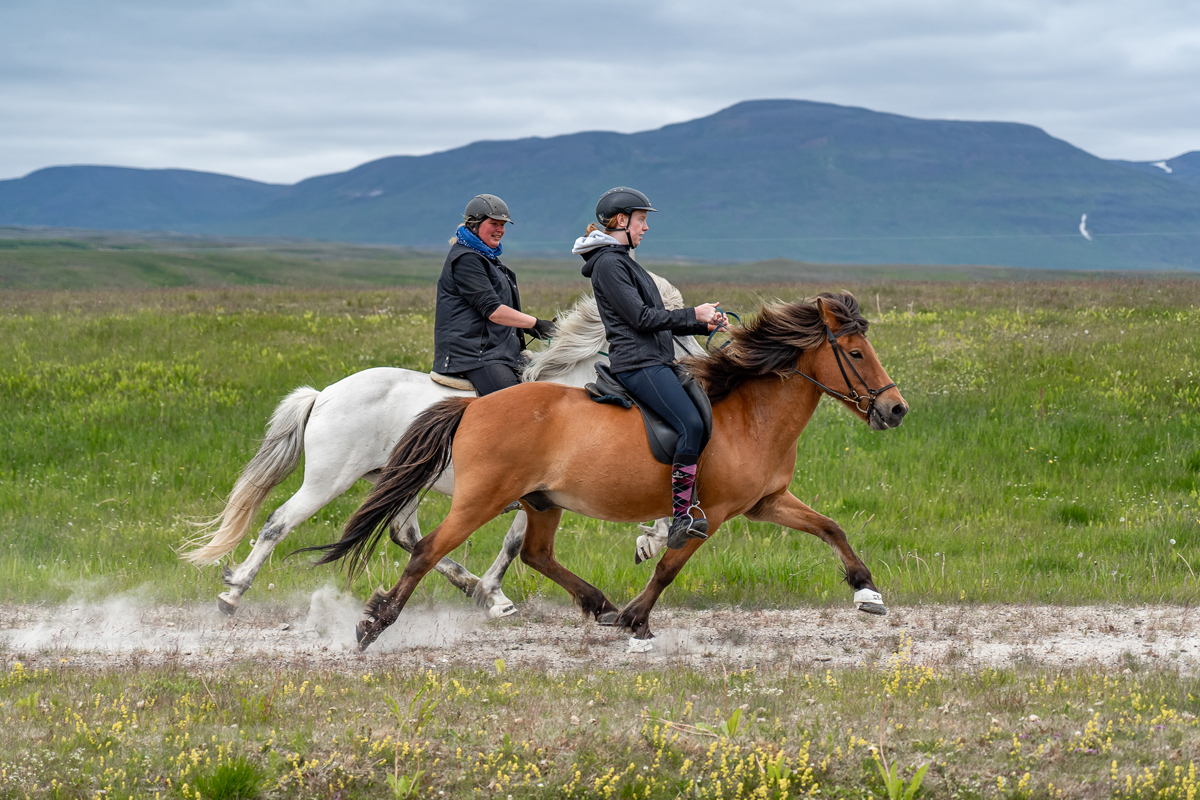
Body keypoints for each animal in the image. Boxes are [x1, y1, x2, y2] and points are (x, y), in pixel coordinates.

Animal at [182, 275, 700, 618]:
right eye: (674, 328)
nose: (699, 366)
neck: (574, 393)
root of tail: (324, 393)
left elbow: (515, 542)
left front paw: (491, 593)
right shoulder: (538, 494)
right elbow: (516, 543)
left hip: (399, 480)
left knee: (406, 534)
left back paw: (467, 584)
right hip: (329, 480)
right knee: (278, 522)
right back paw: (232, 592)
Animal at [307, 293, 907, 652]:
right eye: (856, 352)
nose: (895, 409)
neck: (749, 414)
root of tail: (470, 408)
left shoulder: (765, 503)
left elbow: (831, 527)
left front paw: (866, 592)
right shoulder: (708, 514)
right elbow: (667, 567)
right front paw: (637, 620)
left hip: (540, 502)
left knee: (534, 553)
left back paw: (596, 603)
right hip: (481, 499)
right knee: (428, 549)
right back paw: (373, 625)